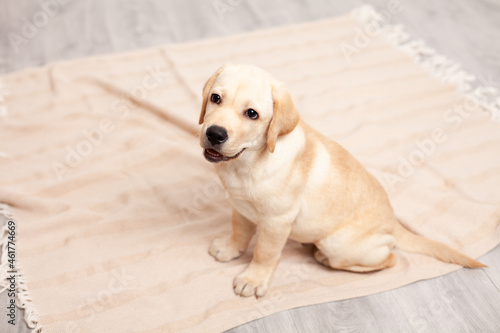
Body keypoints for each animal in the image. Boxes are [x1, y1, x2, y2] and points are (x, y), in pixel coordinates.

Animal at [198, 63, 484, 296]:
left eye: (252, 114)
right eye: (215, 98)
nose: (214, 133)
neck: (247, 163)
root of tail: (394, 223)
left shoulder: (277, 222)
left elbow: (264, 253)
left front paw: (253, 279)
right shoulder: (240, 206)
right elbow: (240, 230)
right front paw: (231, 248)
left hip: (335, 242)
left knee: (388, 259)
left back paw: (324, 258)